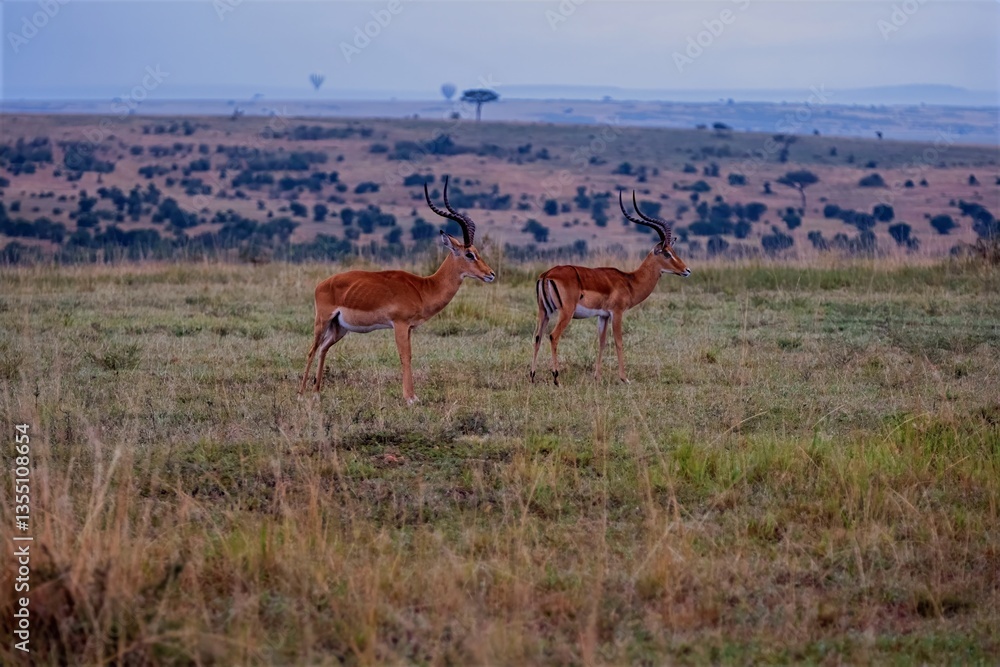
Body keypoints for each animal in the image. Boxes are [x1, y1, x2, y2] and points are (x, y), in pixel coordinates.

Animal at [300, 176, 495, 404]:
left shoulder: (409, 328)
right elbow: (405, 356)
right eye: (469, 254)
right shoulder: (400, 325)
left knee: (323, 349)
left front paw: (412, 395)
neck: (424, 288)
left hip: (339, 328)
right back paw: (301, 394)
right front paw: (410, 398)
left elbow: (409, 355)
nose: (491, 274)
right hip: (322, 321)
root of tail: (322, 284)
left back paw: (316, 393)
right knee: (311, 350)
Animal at [530, 191, 691, 385]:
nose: (687, 270)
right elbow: (619, 342)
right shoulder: (617, 313)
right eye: (667, 253)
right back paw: (556, 379)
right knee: (553, 336)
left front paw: (597, 377)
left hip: (543, 312)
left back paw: (532, 376)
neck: (630, 281)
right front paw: (624, 378)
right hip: (565, 313)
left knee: (537, 337)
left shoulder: (603, 316)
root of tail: (547, 274)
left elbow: (602, 342)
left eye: (673, 252)